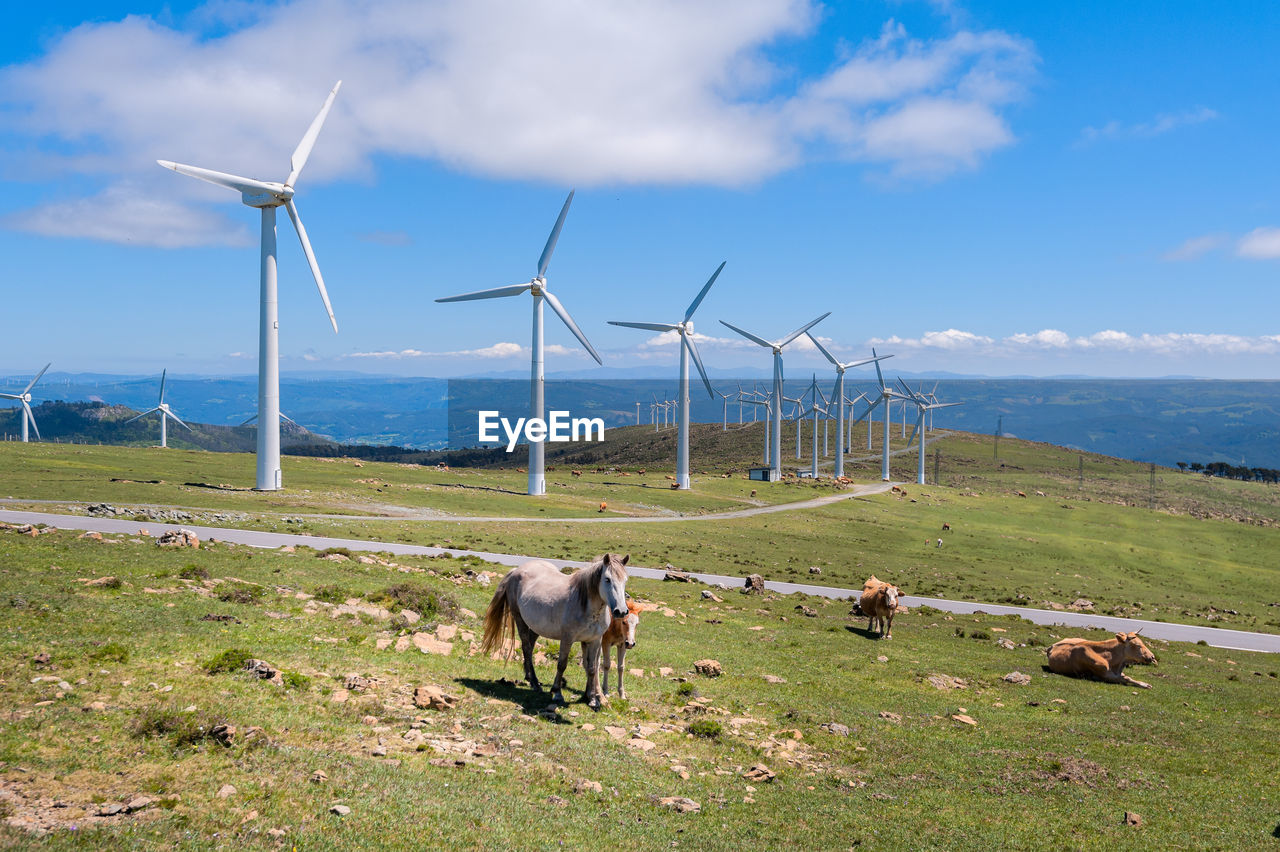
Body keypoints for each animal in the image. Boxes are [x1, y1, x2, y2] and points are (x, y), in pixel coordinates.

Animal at [481, 550, 629, 701]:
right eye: (607, 579)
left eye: (625, 580)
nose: (621, 611)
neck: (587, 607)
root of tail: (516, 570)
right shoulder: (567, 638)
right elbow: (562, 664)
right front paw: (557, 692)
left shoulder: (594, 640)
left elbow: (592, 668)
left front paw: (592, 698)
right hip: (519, 619)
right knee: (527, 647)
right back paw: (535, 683)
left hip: (537, 626)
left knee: (530, 645)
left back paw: (529, 678)